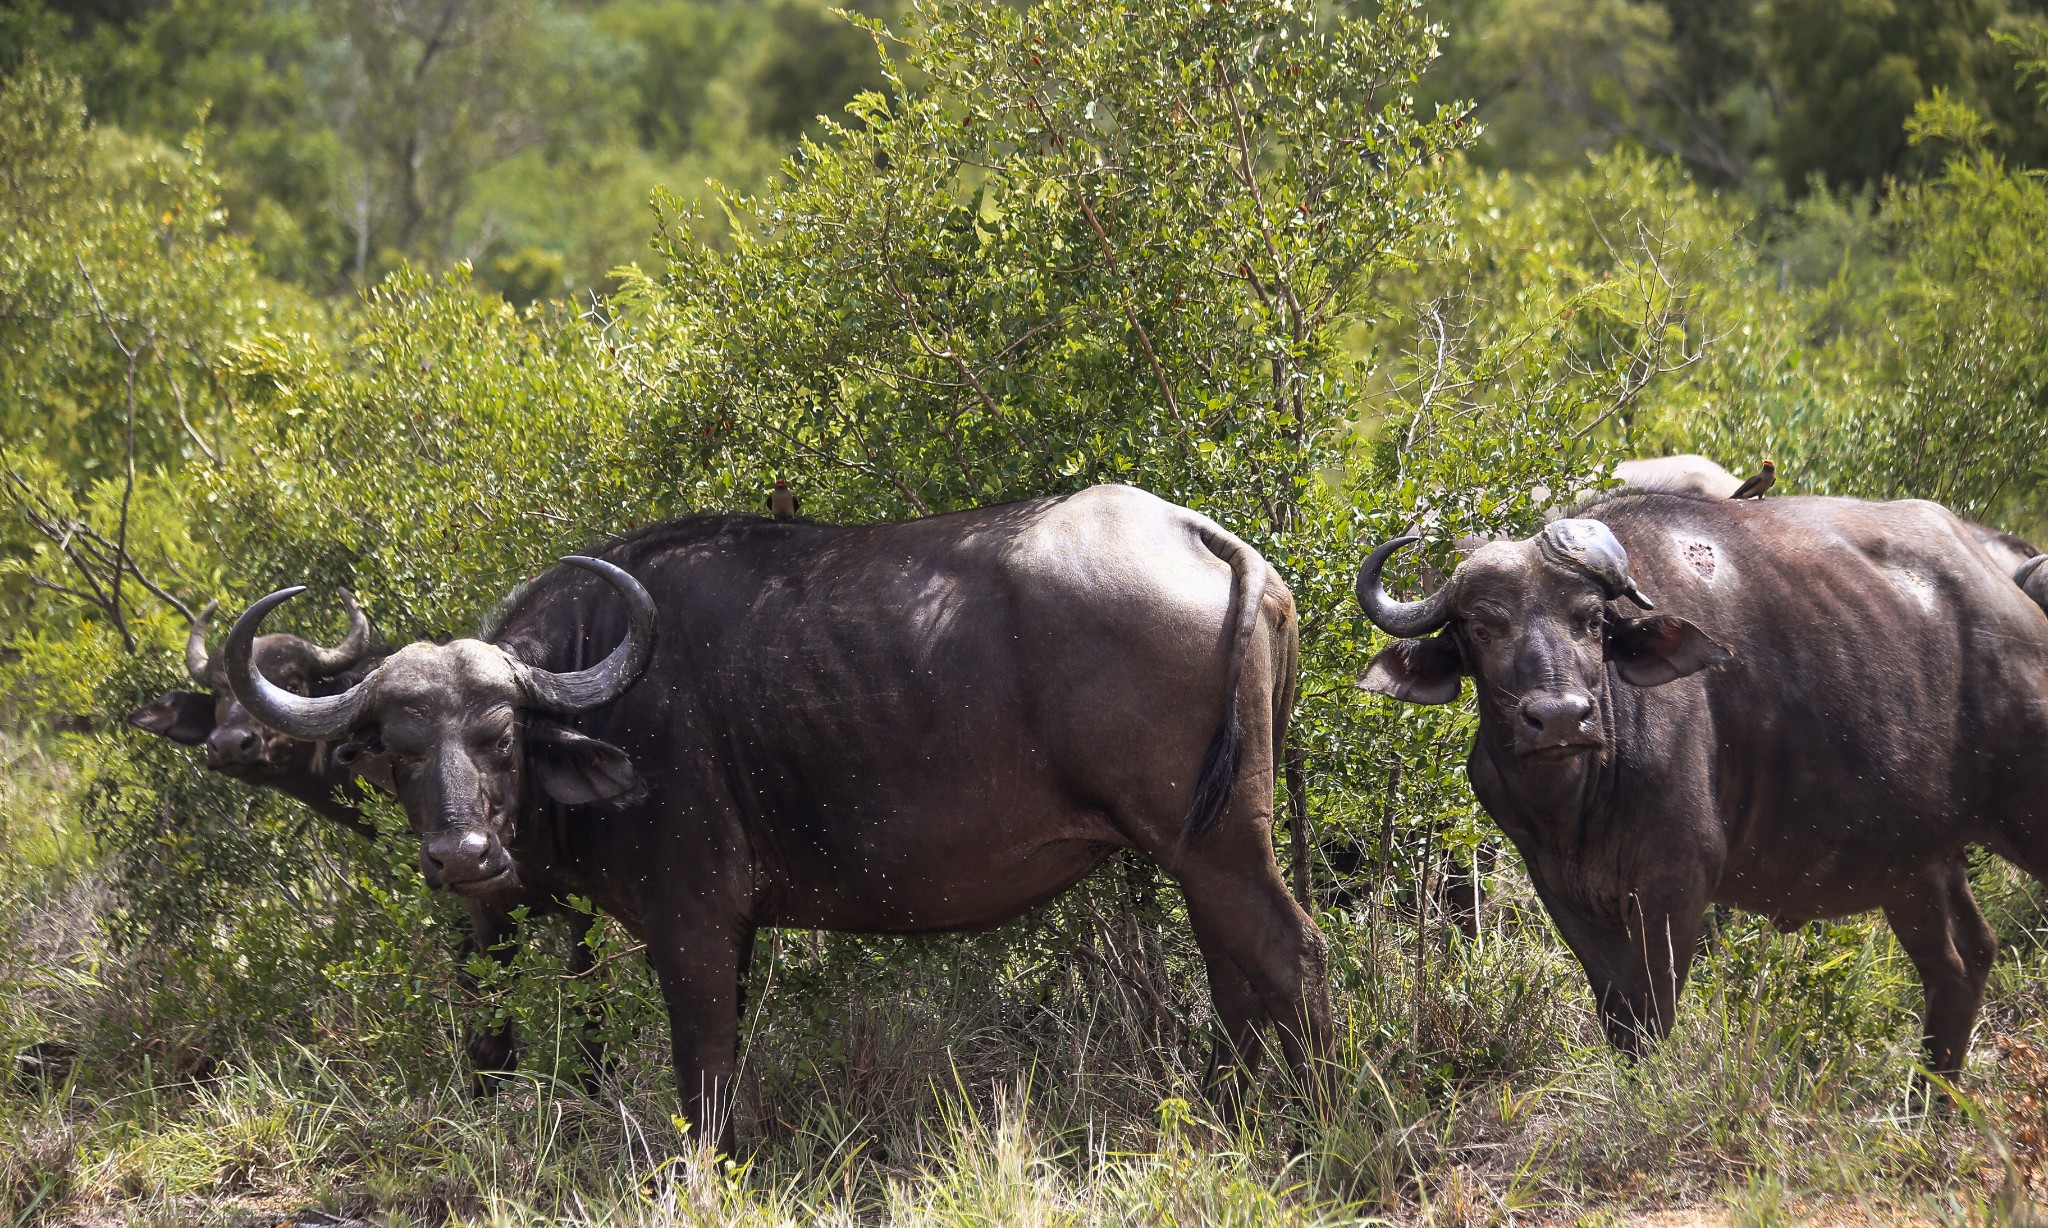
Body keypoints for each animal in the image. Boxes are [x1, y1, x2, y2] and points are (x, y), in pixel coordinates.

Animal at [220, 485, 1327, 1146]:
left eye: (498, 735)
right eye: (400, 748)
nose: (461, 853)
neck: (606, 687)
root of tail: (1202, 536)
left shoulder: (693, 925)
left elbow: (700, 1076)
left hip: (1221, 851)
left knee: (1292, 958)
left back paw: (1317, 1123)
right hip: (1202, 851)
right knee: (1236, 982)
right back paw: (1221, 1121)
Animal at [1359, 493, 2048, 1080]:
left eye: (1591, 622)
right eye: (1482, 628)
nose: (1559, 717)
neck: (1579, 805)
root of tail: (2012, 597)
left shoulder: (1676, 881)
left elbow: (1654, 1012)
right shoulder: (1564, 892)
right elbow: (1620, 1017)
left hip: (2017, 816)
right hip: (1913, 861)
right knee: (1962, 960)